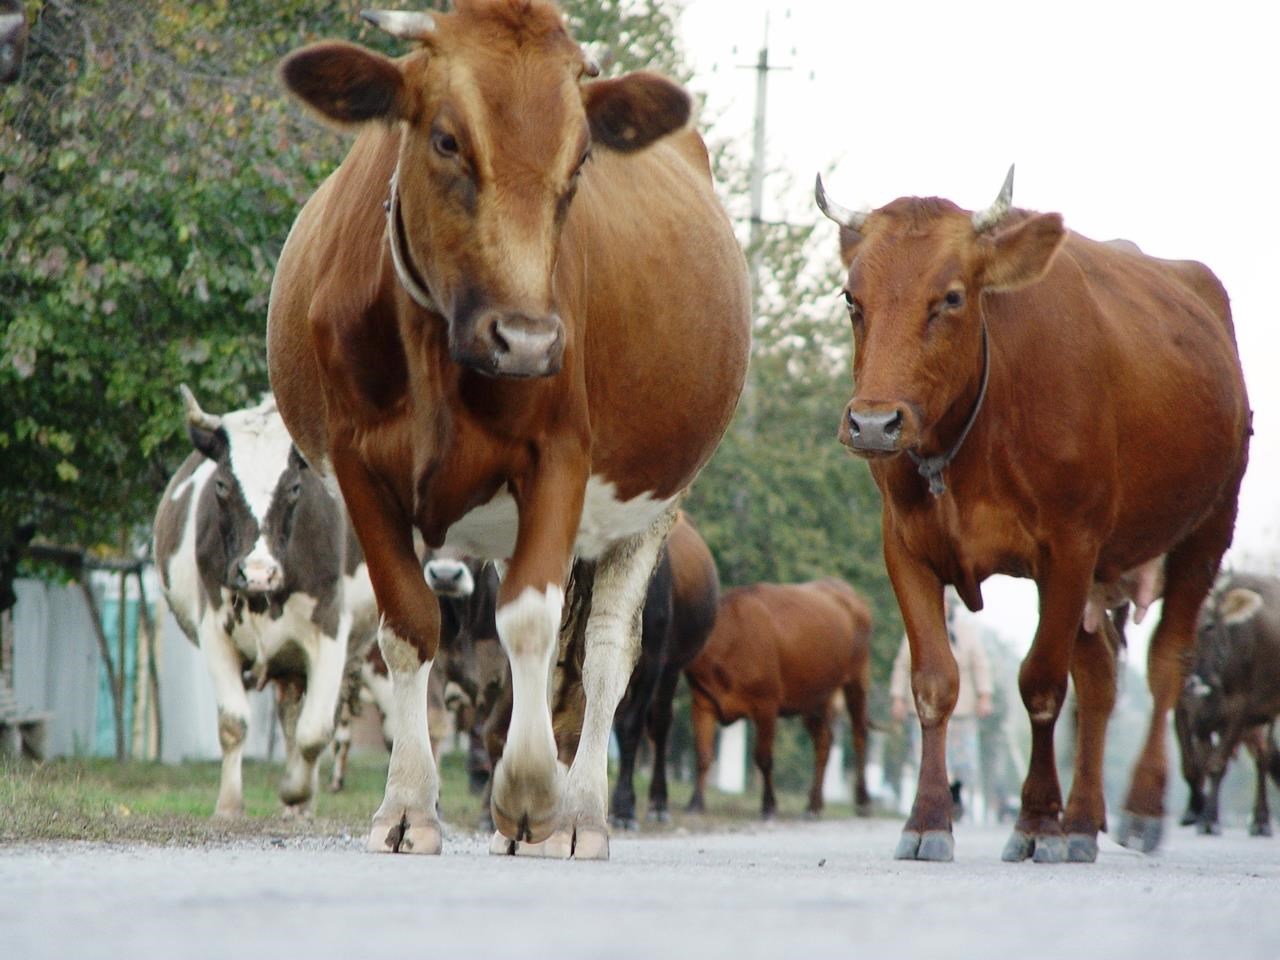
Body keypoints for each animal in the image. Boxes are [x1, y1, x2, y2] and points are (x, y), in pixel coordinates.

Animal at [154, 387, 376, 817]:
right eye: (222, 485)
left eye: (294, 488)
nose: (257, 573)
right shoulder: (214, 629)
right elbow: (233, 724)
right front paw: (229, 805)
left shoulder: (330, 630)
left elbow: (314, 732)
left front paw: (295, 791)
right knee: (289, 717)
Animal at [266, 1, 750, 858]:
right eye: (445, 139)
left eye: (582, 158)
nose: (526, 340)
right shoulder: (361, 469)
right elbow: (409, 628)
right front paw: (407, 809)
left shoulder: (559, 460)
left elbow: (529, 620)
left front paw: (527, 792)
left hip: (651, 507)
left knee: (605, 654)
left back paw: (581, 812)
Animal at [684, 578, 873, 819]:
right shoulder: (702, 702)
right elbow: (703, 755)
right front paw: (695, 803)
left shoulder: (767, 704)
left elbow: (763, 758)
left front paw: (769, 805)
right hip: (816, 696)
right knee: (824, 741)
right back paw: (813, 805)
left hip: (857, 679)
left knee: (859, 734)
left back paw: (863, 801)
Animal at [815, 167, 1250, 862]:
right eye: (852, 298)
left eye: (952, 298)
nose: (875, 424)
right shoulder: (905, 548)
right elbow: (934, 684)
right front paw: (928, 819)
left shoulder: (1068, 547)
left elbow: (1042, 684)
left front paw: (1036, 819)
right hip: (1104, 574)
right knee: (1100, 685)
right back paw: (1084, 821)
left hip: (1205, 534)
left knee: (1166, 668)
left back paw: (1139, 809)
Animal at [1175, 574, 1280, 836]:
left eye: (1209, 626)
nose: (1192, 682)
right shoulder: (1191, 714)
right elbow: (1197, 764)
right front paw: (1198, 814)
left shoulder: (1239, 709)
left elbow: (1216, 764)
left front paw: (1209, 821)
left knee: (1263, 757)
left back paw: (1261, 822)